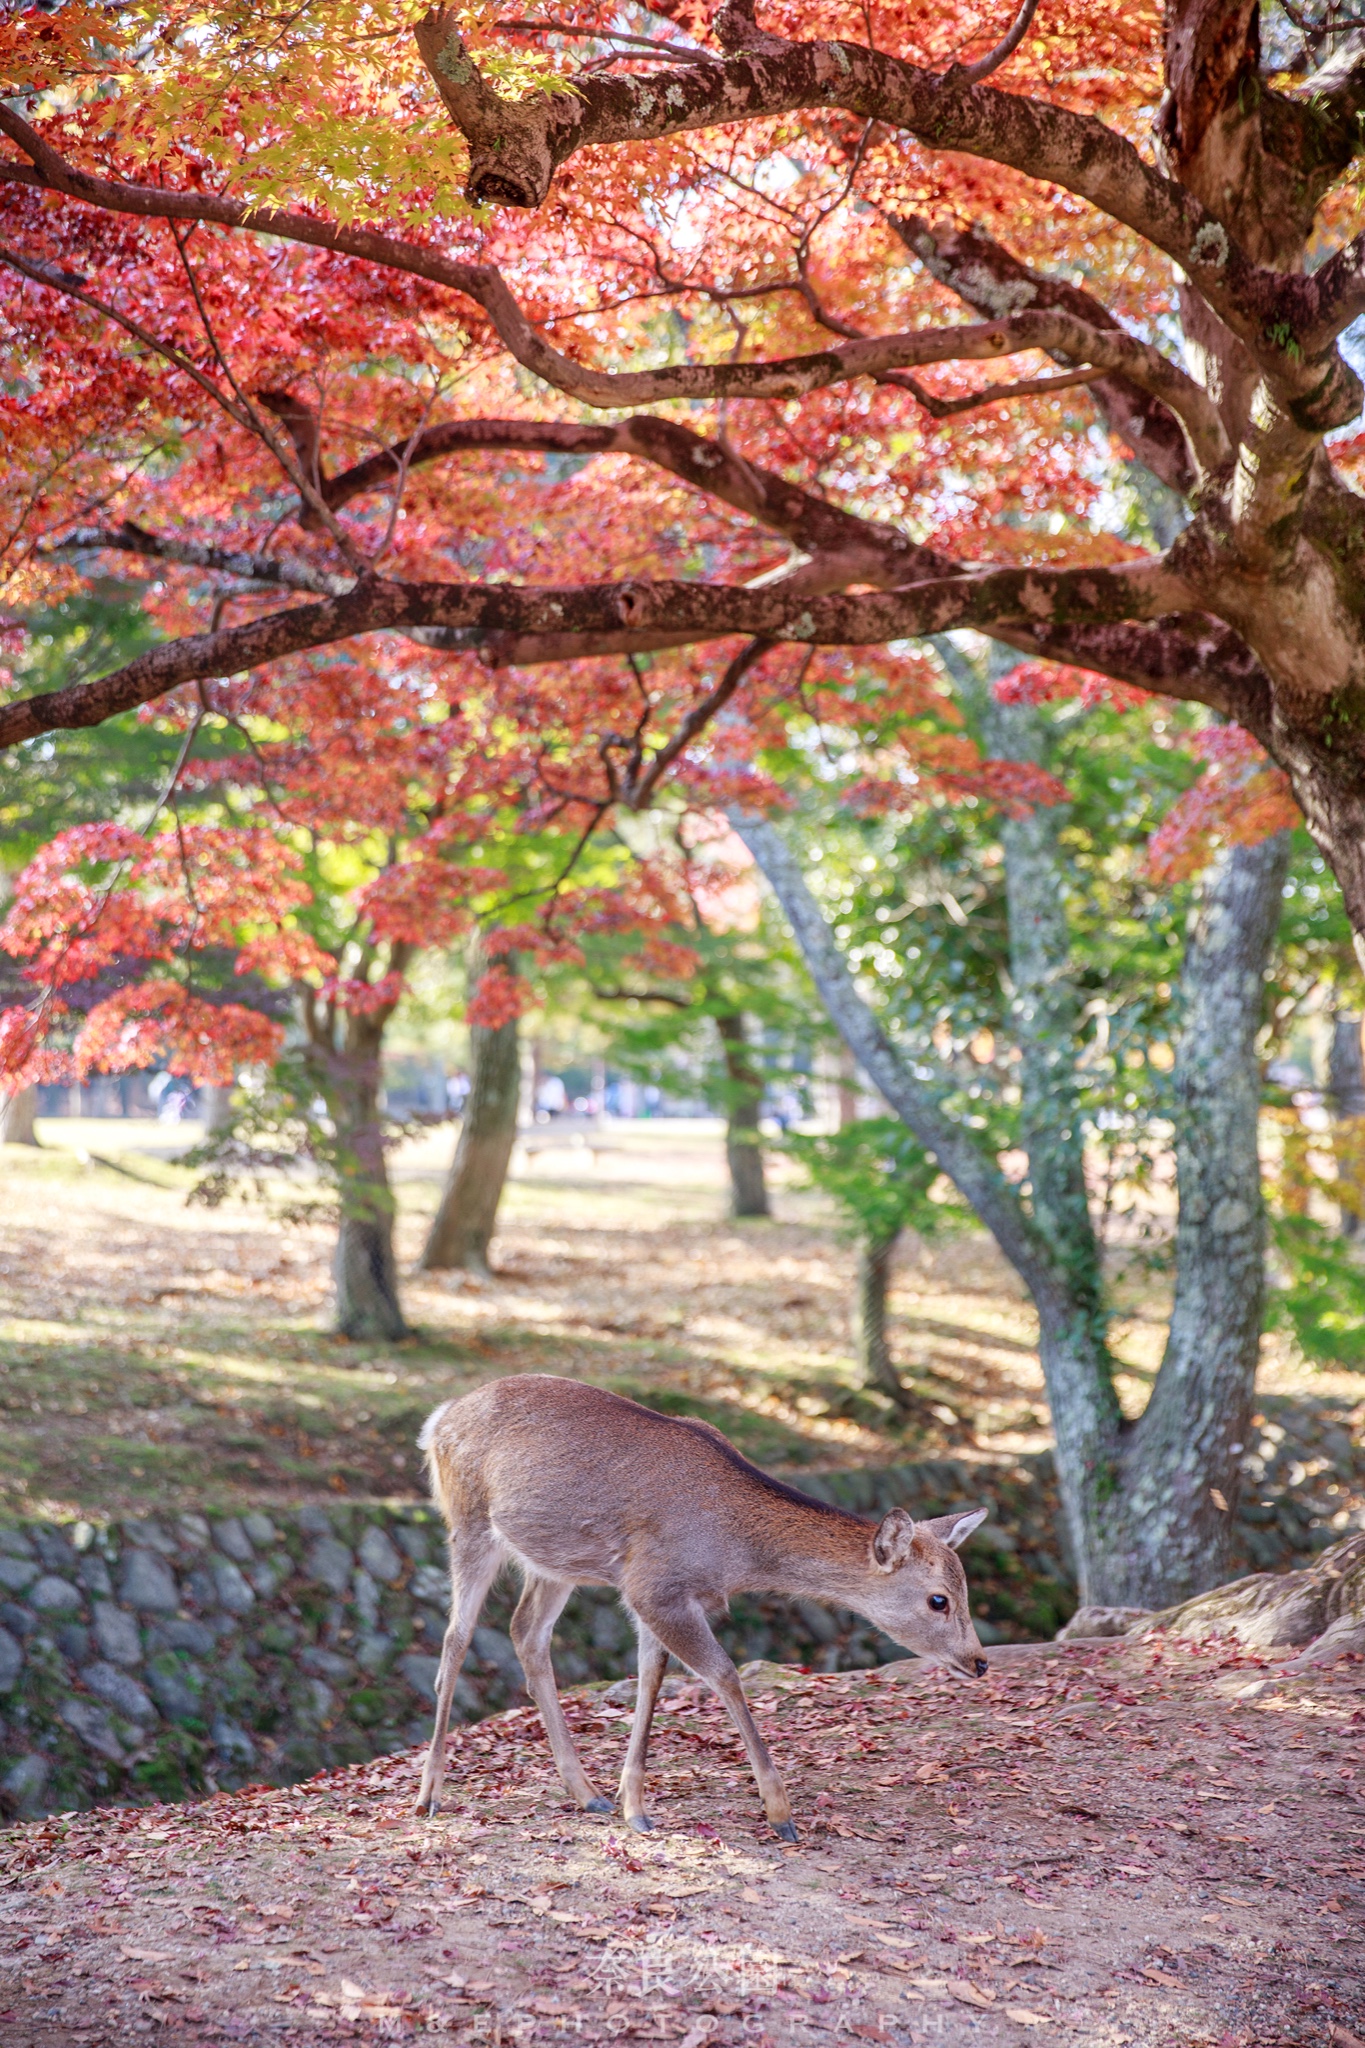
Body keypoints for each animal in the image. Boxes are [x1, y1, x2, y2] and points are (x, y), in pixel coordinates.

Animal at [411, 1376, 986, 1843]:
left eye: (964, 1587)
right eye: (939, 1599)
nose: (979, 1661)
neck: (735, 1553)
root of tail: (438, 1419)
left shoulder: (653, 1594)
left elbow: (650, 1679)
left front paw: (632, 1807)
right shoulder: (654, 1586)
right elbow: (724, 1673)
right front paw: (780, 1814)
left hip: (555, 1562)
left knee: (525, 1630)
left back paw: (586, 1792)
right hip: (468, 1522)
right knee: (455, 1639)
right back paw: (429, 1795)